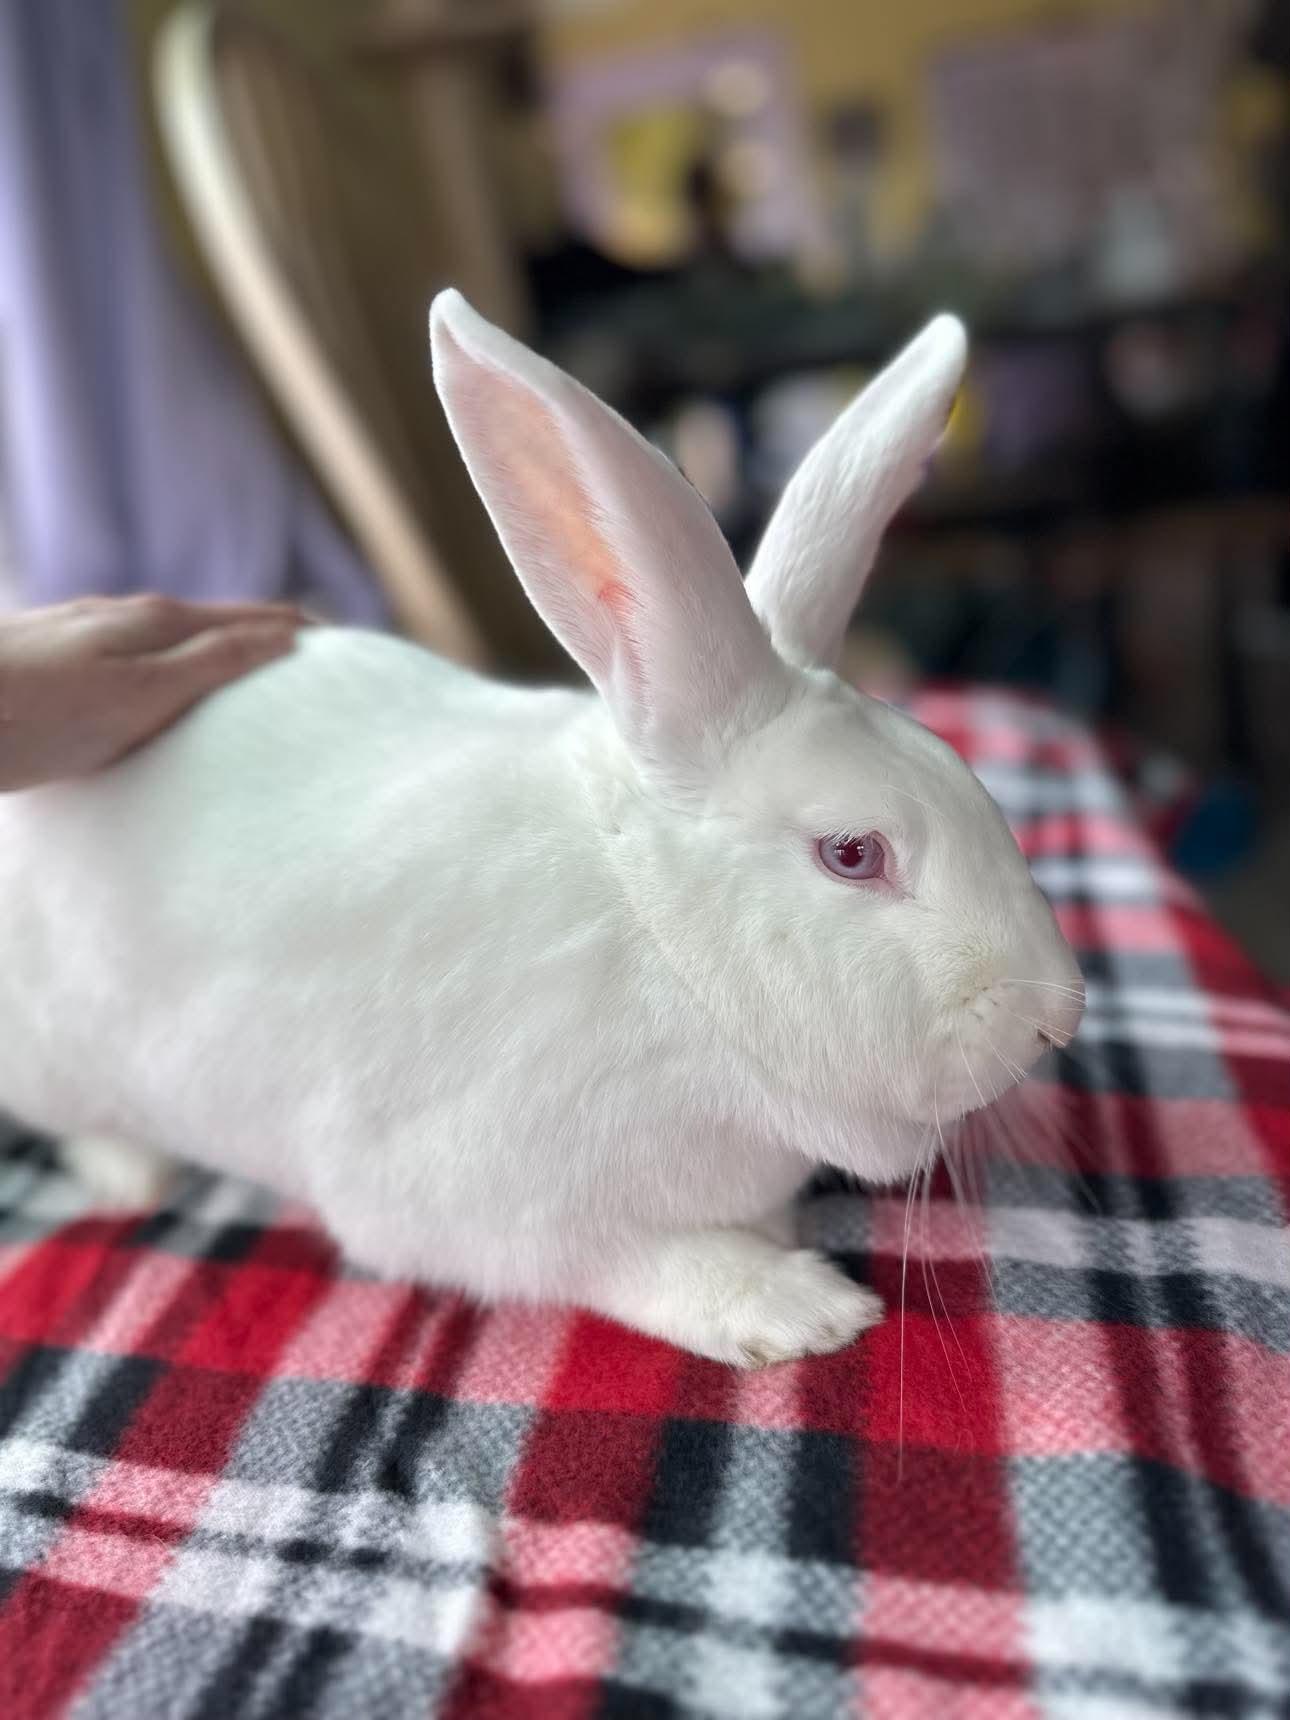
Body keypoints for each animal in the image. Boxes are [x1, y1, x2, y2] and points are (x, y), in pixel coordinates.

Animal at [0, 291, 1084, 1367]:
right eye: (853, 855)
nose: (1060, 1016)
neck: (666, 949)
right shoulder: (480, 1205)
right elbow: (636, 1266)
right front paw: (798, 1307)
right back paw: (134, 1176)